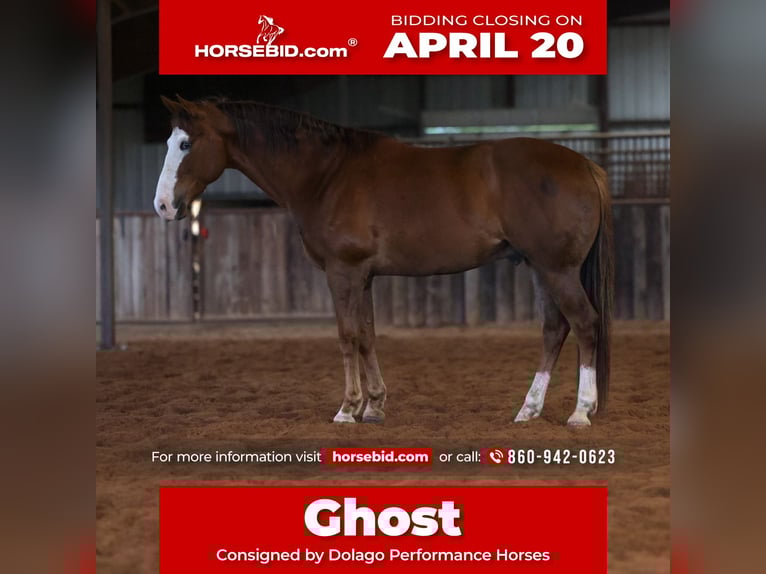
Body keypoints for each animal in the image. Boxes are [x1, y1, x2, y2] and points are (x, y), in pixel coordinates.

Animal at [154, 96, 613, 427]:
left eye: (185, 143)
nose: (162, 206)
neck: (326, 174)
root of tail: (585, 165)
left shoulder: (342, 272)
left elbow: (347, 337)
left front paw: (347, 408)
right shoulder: (364, 276)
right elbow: (368, 336)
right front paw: (374, 406)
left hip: (557, 270)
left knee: (584, 323)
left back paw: (580, 411)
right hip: (540, 268)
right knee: (554, 330)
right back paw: (529, 410)